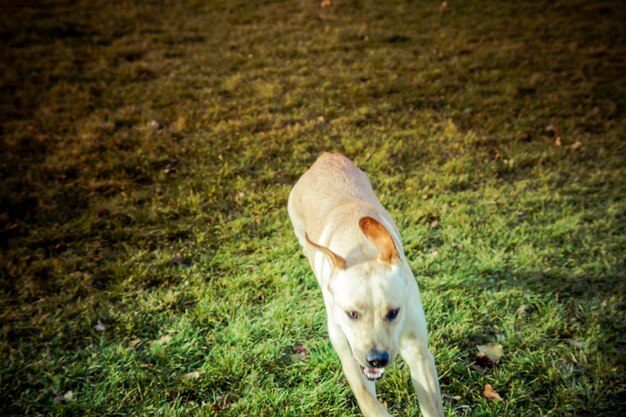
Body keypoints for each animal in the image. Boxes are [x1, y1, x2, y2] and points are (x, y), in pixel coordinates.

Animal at [288, 153, 444, 416]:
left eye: (393, 312)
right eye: (352, 314)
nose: (377, 359)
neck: (361, 248)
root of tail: (326, 157)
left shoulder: (419, 353)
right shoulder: (351, 359)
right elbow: (371, 403)